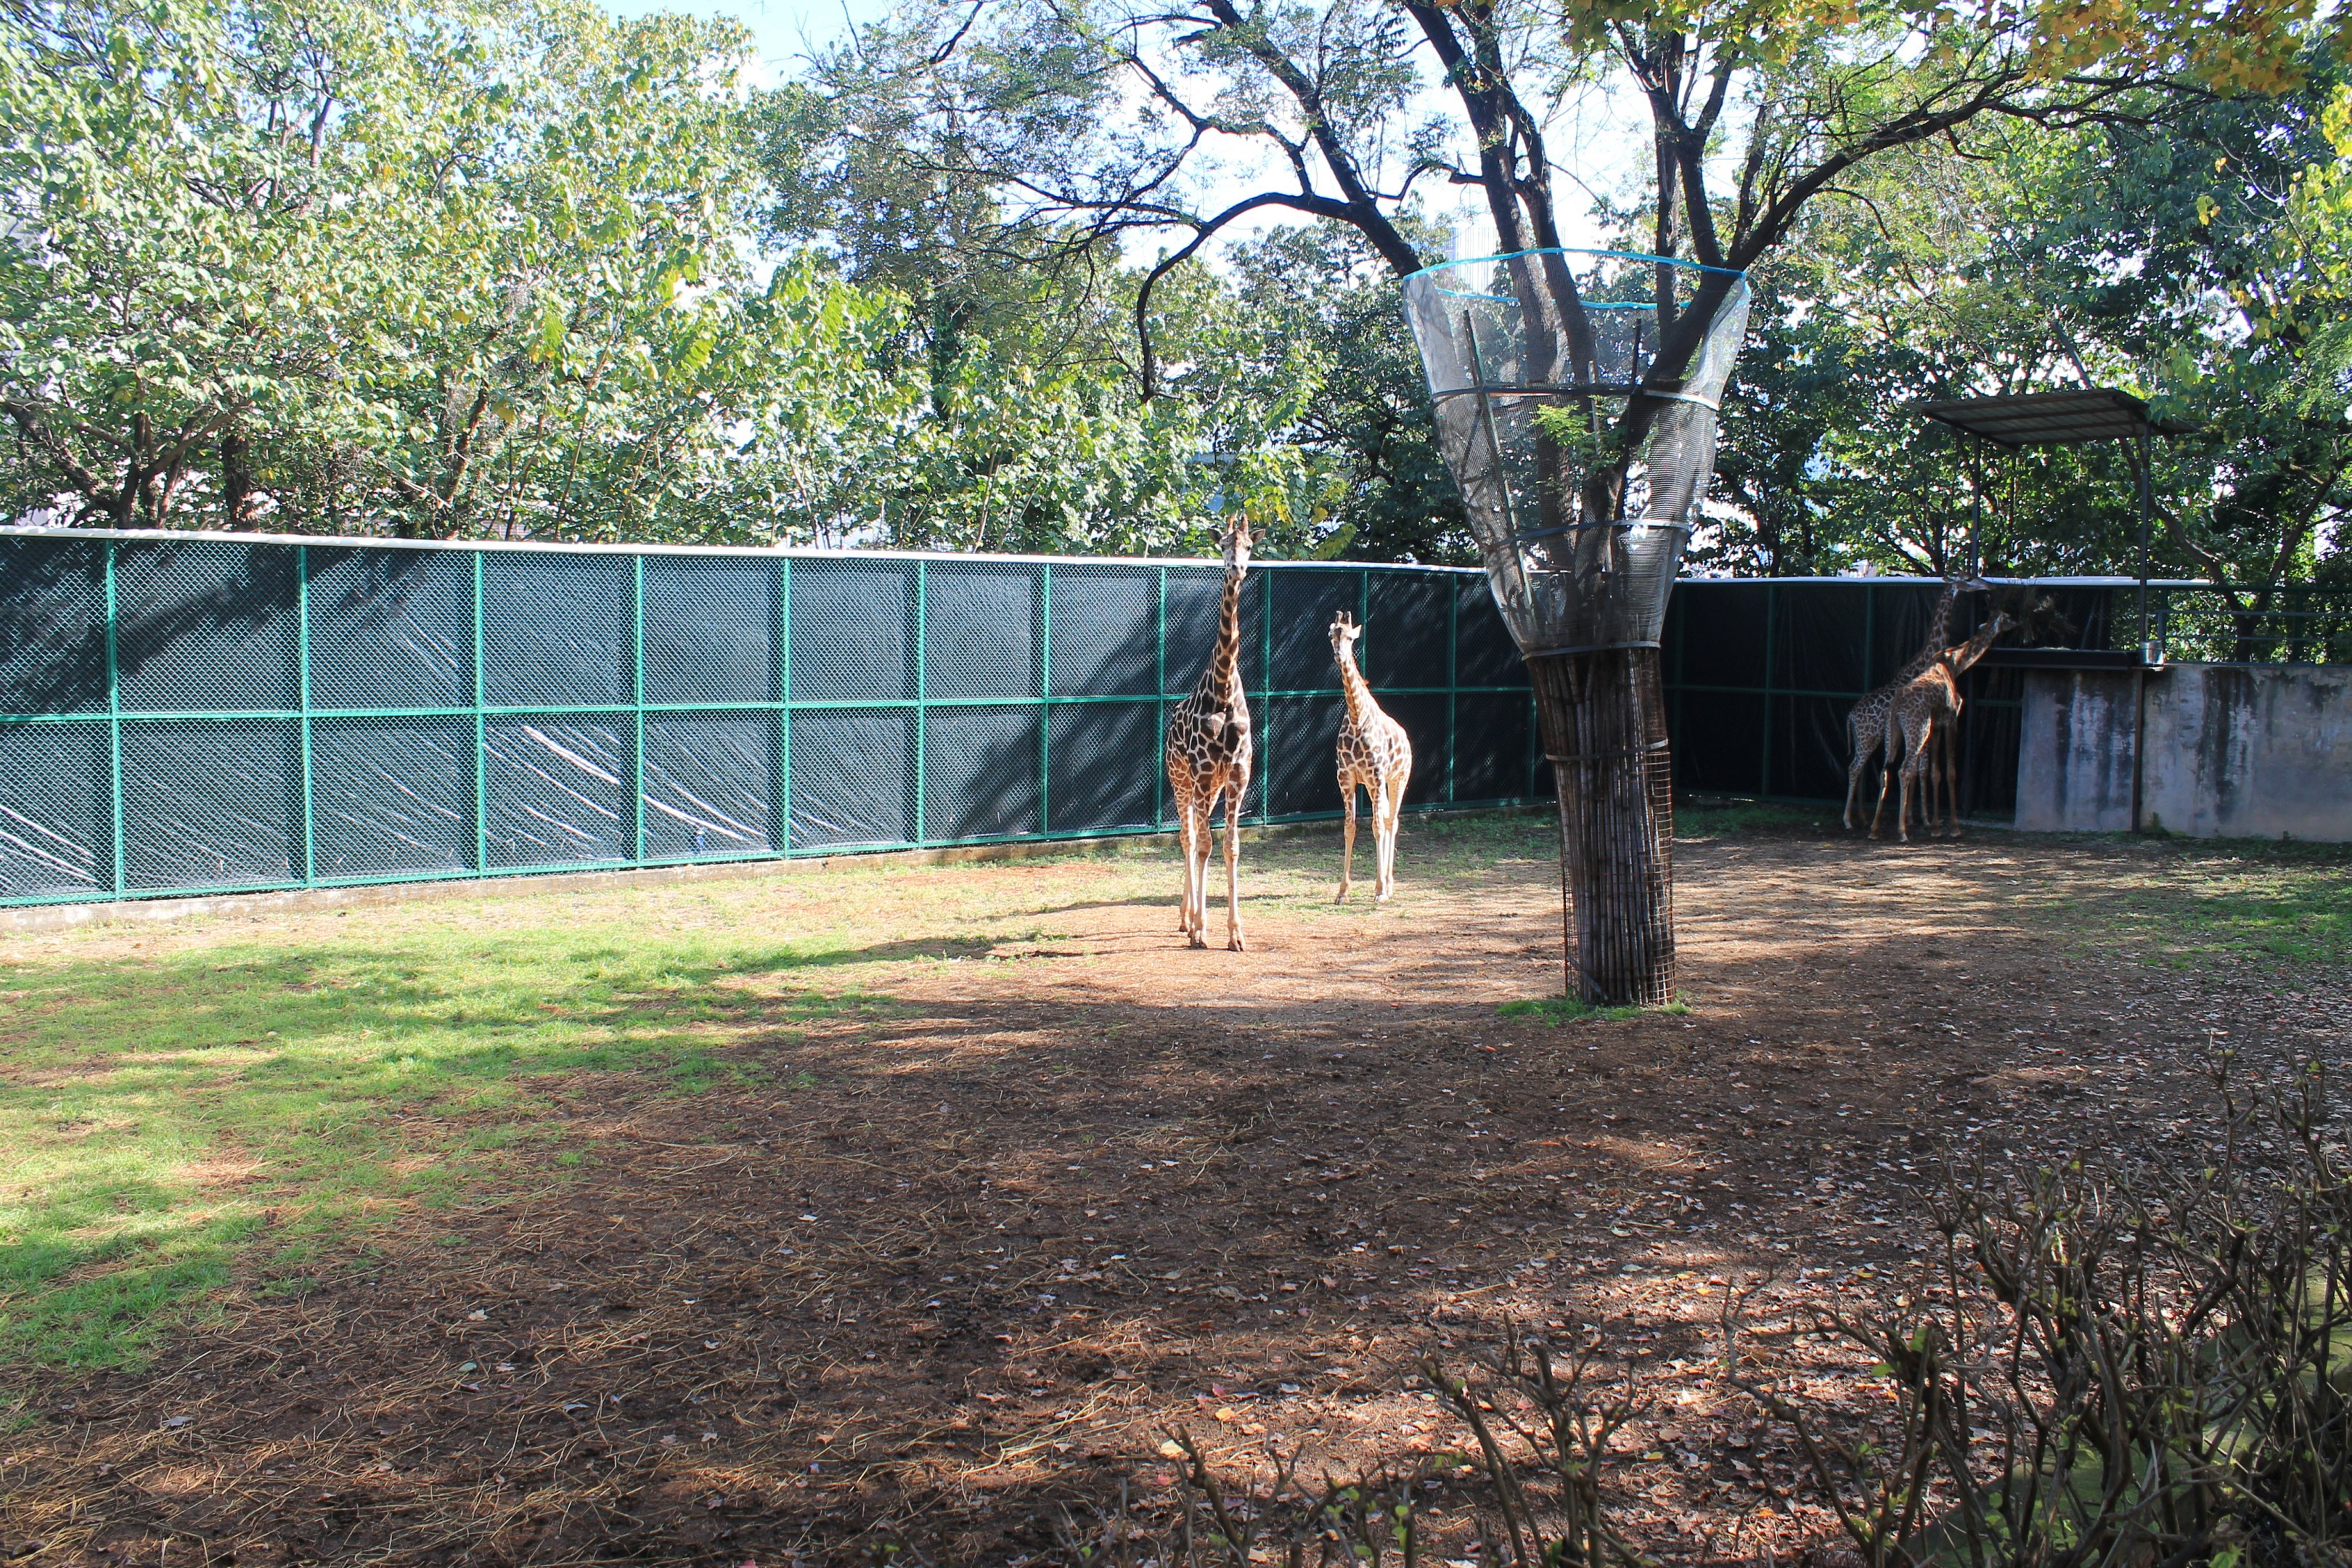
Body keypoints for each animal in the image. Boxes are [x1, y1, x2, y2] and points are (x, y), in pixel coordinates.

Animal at [1328, 611, 1413, 903]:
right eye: (1332, 635)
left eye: (1351, 638)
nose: (1339, 656)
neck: (1356, 717)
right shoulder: (1346, 777)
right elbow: (1349, 827)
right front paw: (1343, 892)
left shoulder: (1375, 776)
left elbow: (1376, 826)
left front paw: (1379, 890)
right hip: (1379, 783)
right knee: (1387, 818)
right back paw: (1387, 882)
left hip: (1398, 777)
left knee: (1391, 821)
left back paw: (1388, 884)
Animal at [1841, 578, 1980, 831]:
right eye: (1969, 579)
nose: (1987, 585)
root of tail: (1851, 716)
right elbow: (1920, 770)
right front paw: (1921, 819)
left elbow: (1914, 770)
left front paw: (1912, 818)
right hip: (1869, 738)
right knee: (1855, 767)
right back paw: (1848, 820)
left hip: (1865, 739)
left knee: (1861, 769)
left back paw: (1863, 817)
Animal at [1872, 610, 2015, 842]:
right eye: (2008, 617)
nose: (2017, 623)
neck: (1955, 664)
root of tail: (1897, 705)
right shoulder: (1951, 720)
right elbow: (1950, 772)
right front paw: (1954, 828)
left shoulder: (1937, 727)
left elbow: (1935, 773)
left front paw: (1936, 827)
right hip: (1917, 729)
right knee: (1904, 769)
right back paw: (1902, 832)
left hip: (1892, 734)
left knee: (1886, 770)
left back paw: (1874, 830)